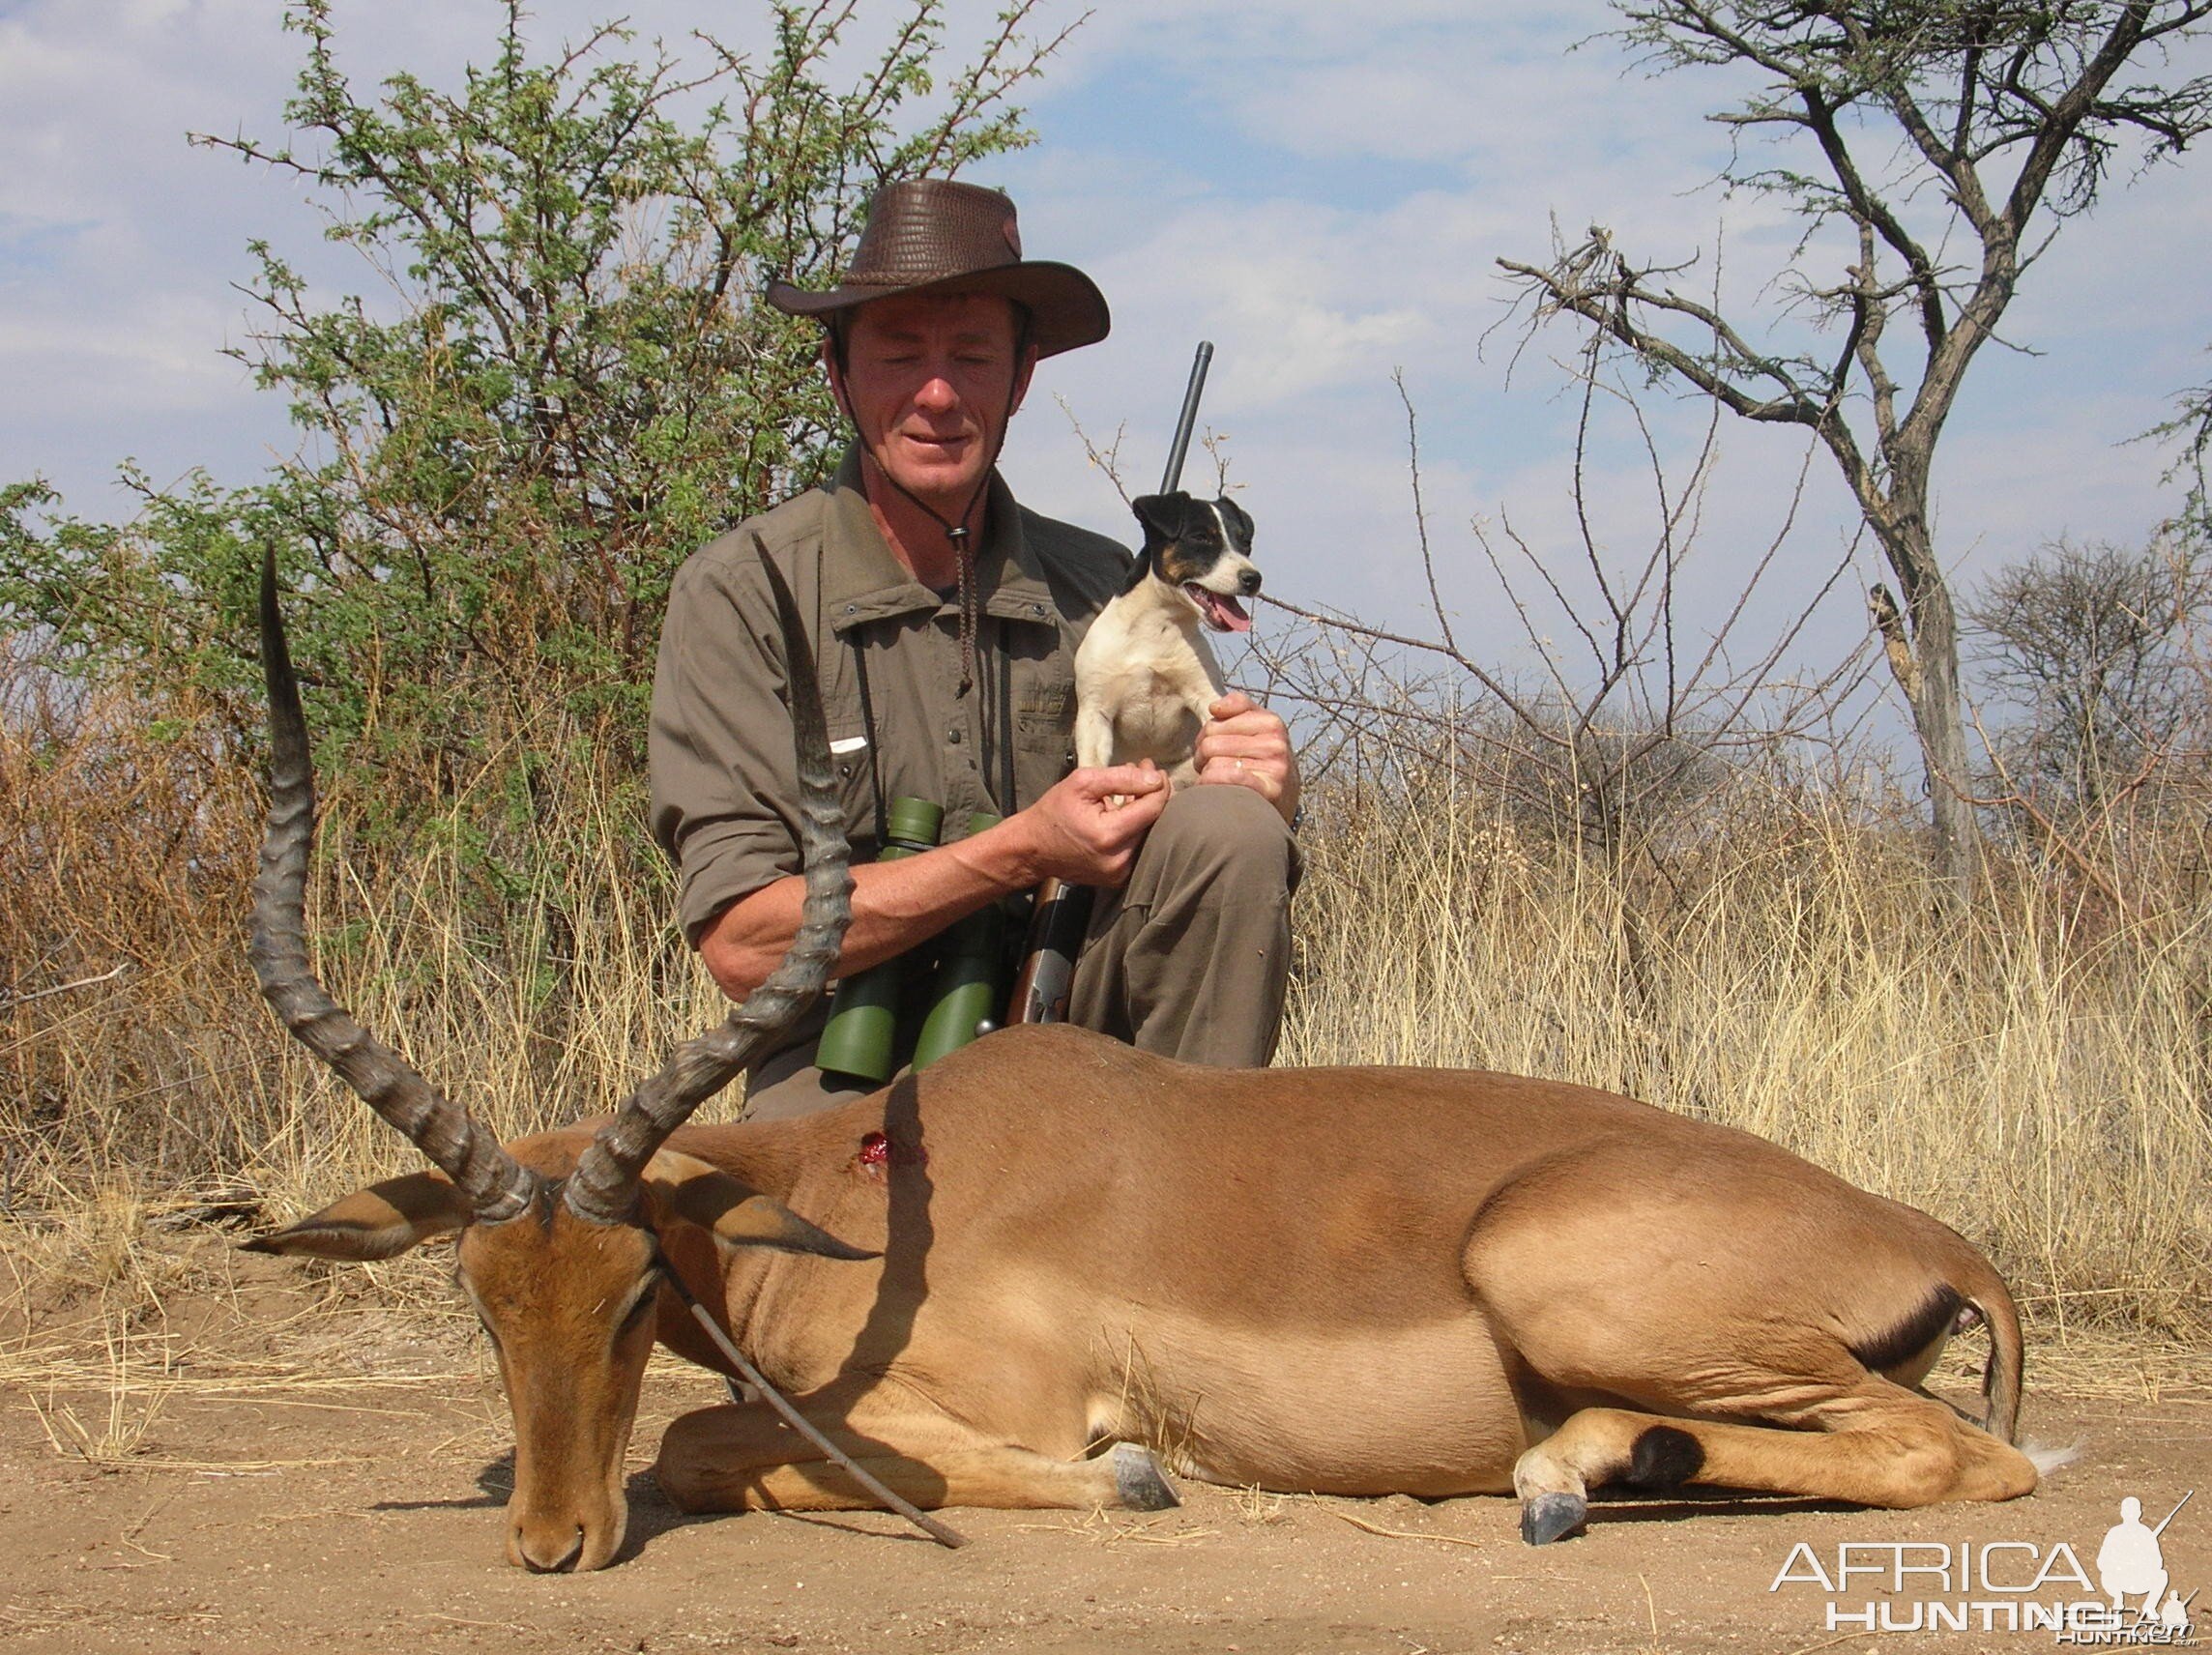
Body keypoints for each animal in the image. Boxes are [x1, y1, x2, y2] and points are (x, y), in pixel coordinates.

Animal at [1074, 491, 1265, 787]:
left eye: (1245, 543)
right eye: (1201, 537)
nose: (1253, 579)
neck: (1156, 629)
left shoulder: (1206, 695)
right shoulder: (1095, 711)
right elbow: (1094, 768)